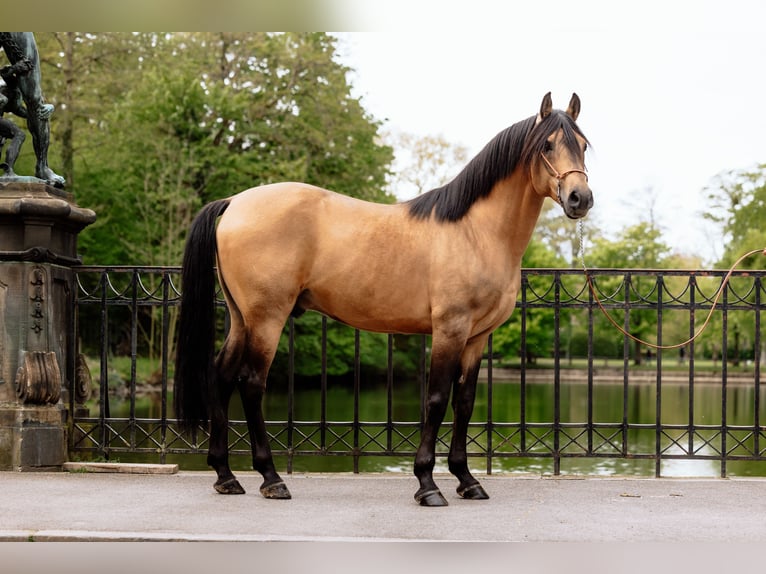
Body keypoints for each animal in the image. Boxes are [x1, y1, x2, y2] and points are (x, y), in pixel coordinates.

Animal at [174, 92, 592, 506]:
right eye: (548, 145)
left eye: (584, 145)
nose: (580, 198)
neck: (475, 231)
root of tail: (234, 202)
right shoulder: (450, 329)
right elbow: (436, 399)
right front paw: (427, 483)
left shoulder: (477, 337)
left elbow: (465, 401)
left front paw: (466, 479)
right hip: (267, 318)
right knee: (251, 383)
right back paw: (271, 478)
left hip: (241, 318)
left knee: (222, 375)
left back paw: (226, 475)